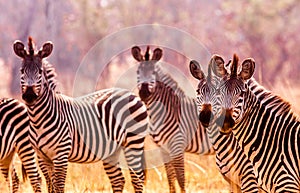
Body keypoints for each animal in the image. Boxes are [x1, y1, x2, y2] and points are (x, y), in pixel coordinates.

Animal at [12, 37, 149, 192]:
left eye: (40, 72)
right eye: (22, 71)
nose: (29, 96)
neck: (38, 119)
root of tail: (132, 94)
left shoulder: (61, 156)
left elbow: (59, 187)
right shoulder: (42, 157)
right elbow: (50, 186)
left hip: (134, 141)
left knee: (137, 179)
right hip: (112, 149)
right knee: (118, 180)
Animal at [131, 45, 213, 193]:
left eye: (153, 73)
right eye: (138, 72)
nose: (144, 93)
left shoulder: (177, 146)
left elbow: (180, 178)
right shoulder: (164, 149)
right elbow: (170, 178)